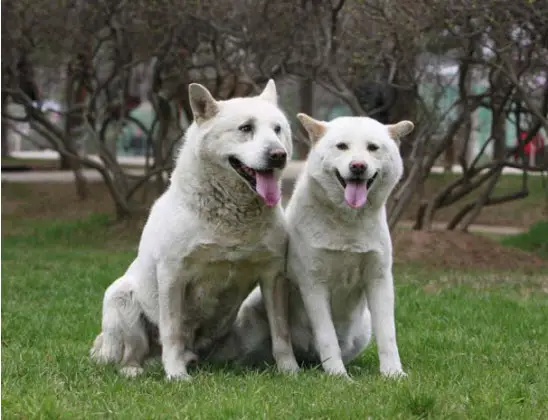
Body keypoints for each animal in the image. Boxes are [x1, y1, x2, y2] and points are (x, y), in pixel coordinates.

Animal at [89, 80, 300, 378]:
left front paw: (290, 371)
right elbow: (173, 331)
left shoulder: (273, 276)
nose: (278, 155)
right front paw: (176, 374)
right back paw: (136, 369)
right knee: (132, 353)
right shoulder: (173, 275)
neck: (232, 218)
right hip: (121, 298)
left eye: (278, 129)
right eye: (246, 128)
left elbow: (281, 332)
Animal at [216, 113, 414, 378]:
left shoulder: (379, 279)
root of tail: (307, 357)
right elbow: (327, 337)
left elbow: (388, 335)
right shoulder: (314, 284)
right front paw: (339, 376)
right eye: (342, 146)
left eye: (373, 148)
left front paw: (393, 374)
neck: (346, 224)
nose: (358, 166)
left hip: (363, 329)